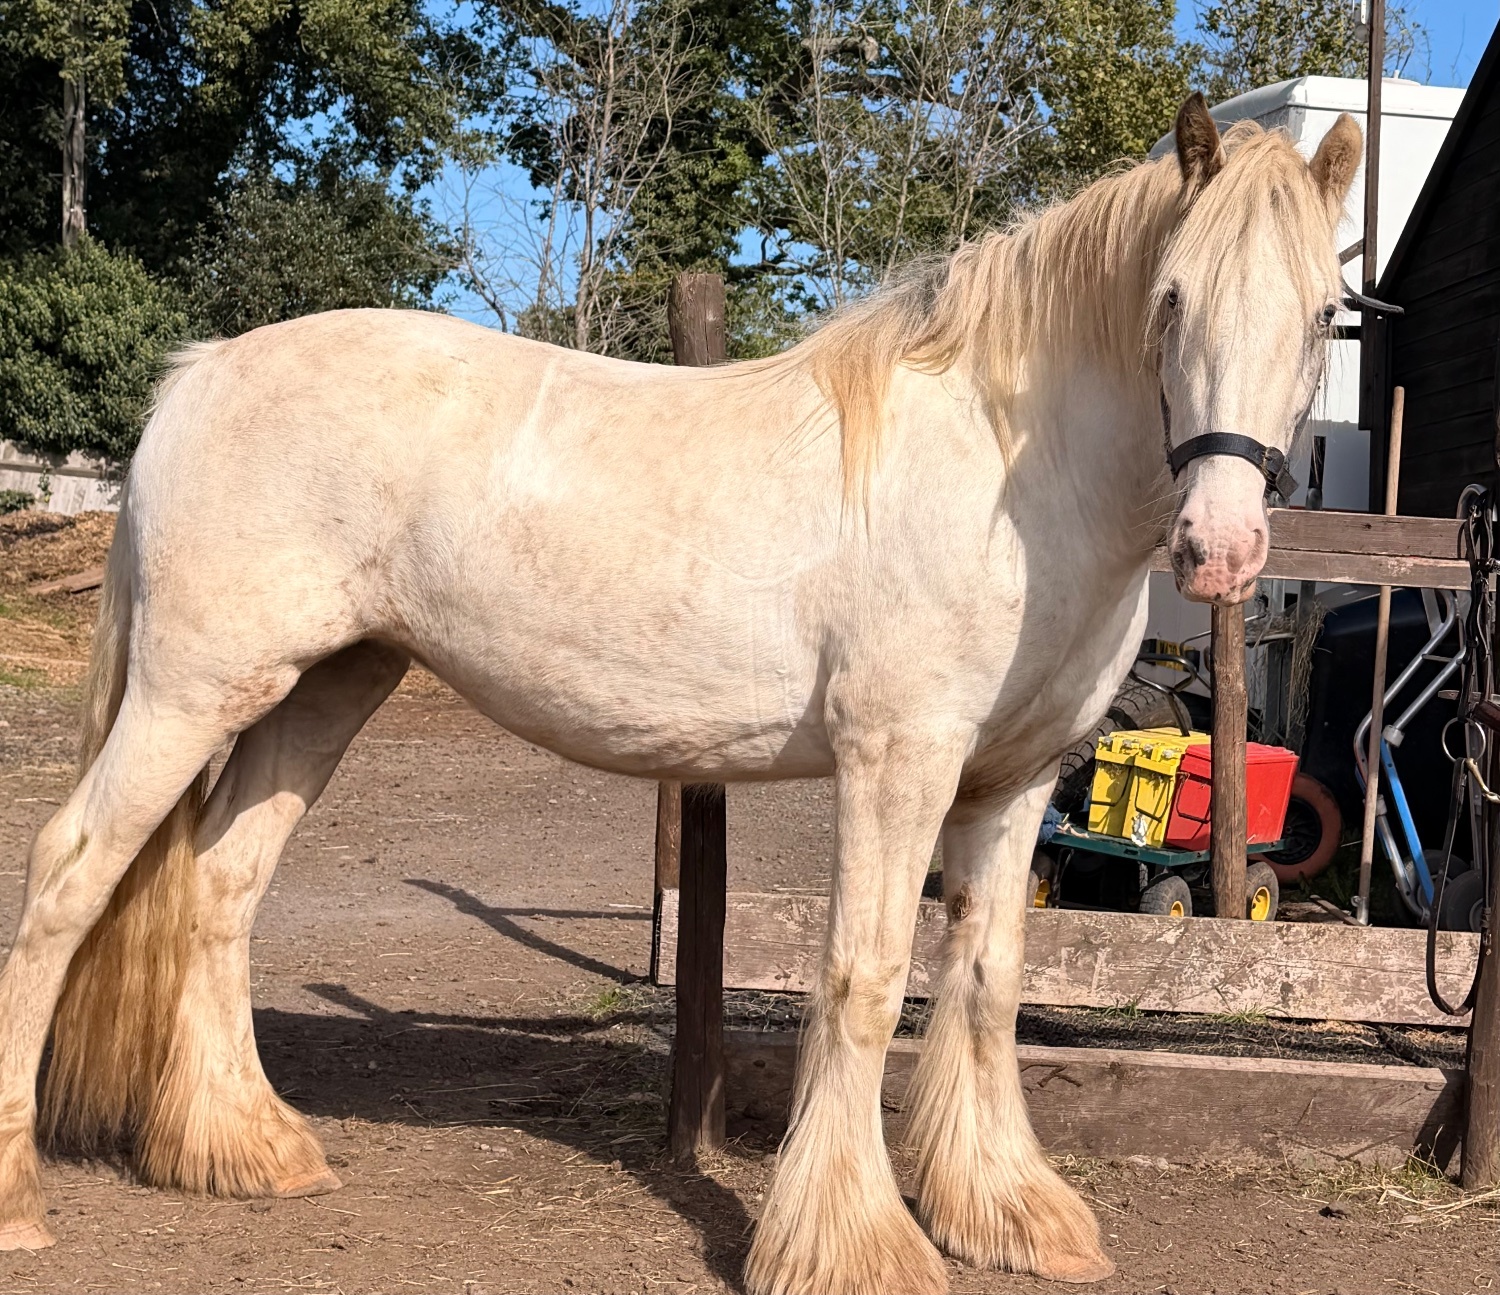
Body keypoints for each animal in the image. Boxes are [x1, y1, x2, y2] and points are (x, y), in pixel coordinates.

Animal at [0, 94, 1361, 1294]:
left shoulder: (1013, 782)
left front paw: (1008, 1217)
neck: (1012, 483)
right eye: (1172, 298)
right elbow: (867, 978)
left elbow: (987, 979)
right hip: (192, 690)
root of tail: (203, 369)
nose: (1224, 546)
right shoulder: (899, 762)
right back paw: (22, 1200)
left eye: (1324, 315)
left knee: (220, 884)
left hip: (325, 687)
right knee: (69, 870)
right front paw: (853, 1244)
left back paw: (247, 1149)